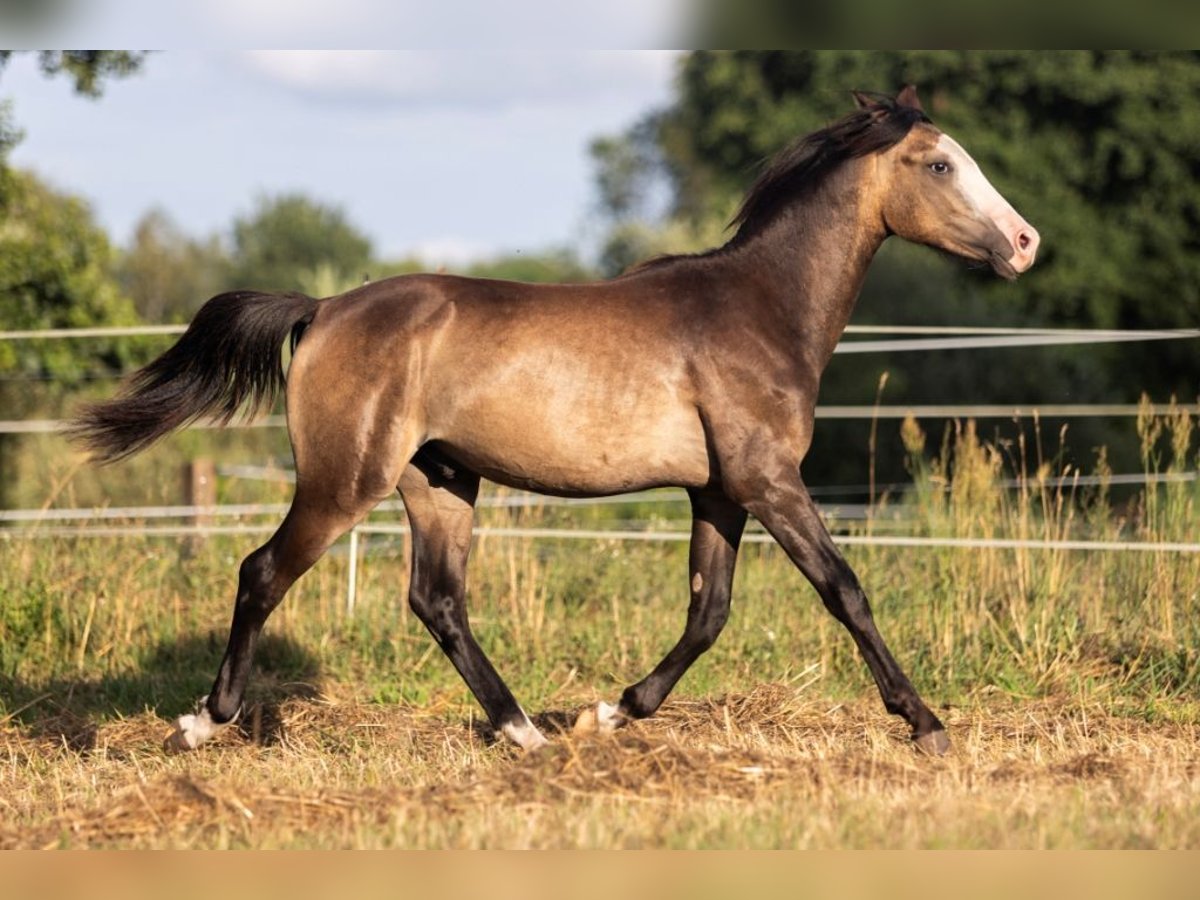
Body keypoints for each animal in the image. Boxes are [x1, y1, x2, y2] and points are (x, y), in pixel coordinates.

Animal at [70, 86, 1036, 763]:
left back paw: (525, 731)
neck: (758, 310)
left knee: (437, 600)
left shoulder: (721, 492)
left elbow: (709, 611)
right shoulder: (768, 479)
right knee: (263, 572)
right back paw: (202, 723)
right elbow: (844, 590)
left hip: (441, 481)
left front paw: (610, 712)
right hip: (345, 481)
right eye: (939, 166)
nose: (1025, 243)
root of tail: (325, 308)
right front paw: (927, 724)